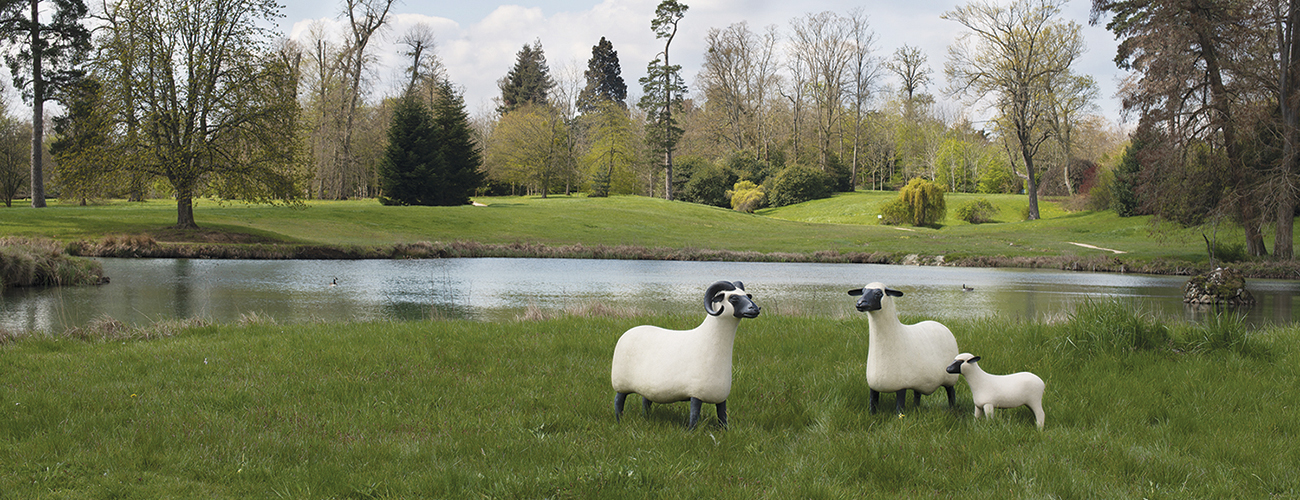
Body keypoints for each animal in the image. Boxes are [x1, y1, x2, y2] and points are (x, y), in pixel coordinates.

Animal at [611, 277, 759, 425]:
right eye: (733, 298)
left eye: (748, 296)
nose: (756, 309)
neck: (708, 339)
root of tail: (628, 332)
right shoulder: (696, 394)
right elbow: (694, 417)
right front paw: (691, 430)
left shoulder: (720, 397)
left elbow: (723, 417)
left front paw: (725, 429)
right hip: (620, 383)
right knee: (618, 402)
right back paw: (619, 421)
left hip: (647, 386)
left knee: (645, 401)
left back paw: (646, 417)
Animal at [847, 280, 961, 412]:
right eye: (863, 291)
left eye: (878, 293)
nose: (860, 303)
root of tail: (939, 324)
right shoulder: (873, 387)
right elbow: (872, 406)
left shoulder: (901, 386)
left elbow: (899, 409)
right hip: (921, 380)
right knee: (917, 394)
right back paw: (916, 408)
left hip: (950, 378)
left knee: (951, 393)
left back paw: (952, 410)